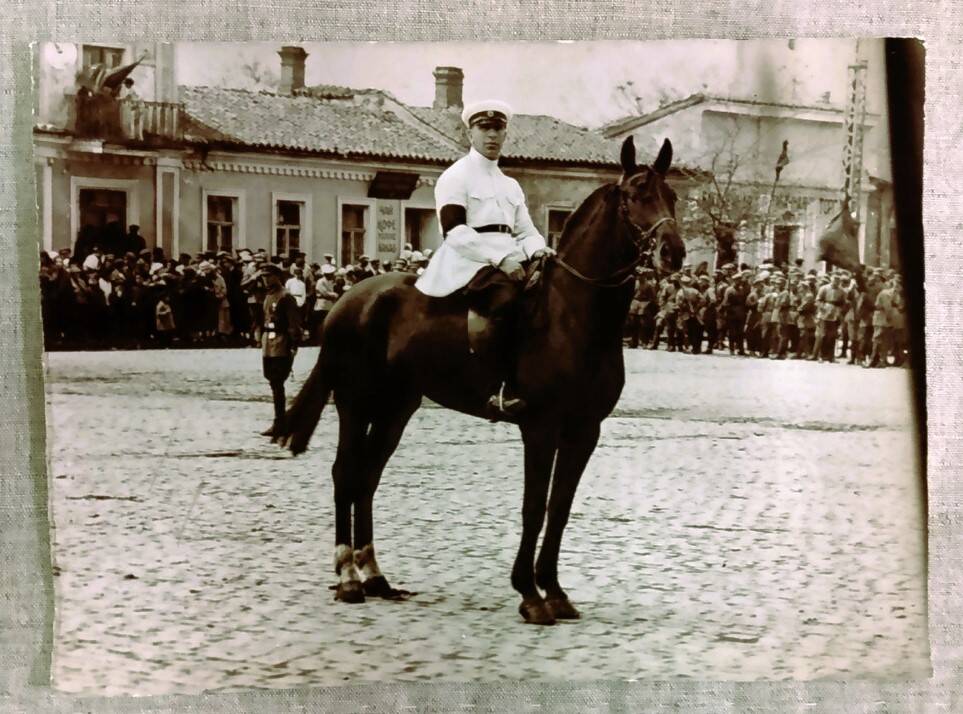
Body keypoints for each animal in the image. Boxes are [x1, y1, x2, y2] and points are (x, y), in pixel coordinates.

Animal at [274, 135, 688, 624]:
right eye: (635, 195)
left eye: (672, 196)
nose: (674, 252)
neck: (575, 314)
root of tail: (349, 298)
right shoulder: (540, 427)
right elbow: (534, 507)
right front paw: (530, 593)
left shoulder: (585, 430)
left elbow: (560, 508)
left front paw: (554, 590)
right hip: (355, 403)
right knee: (345, 474)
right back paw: (349, 578)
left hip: (396, 408)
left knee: (368, 477)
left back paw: (375, 575)